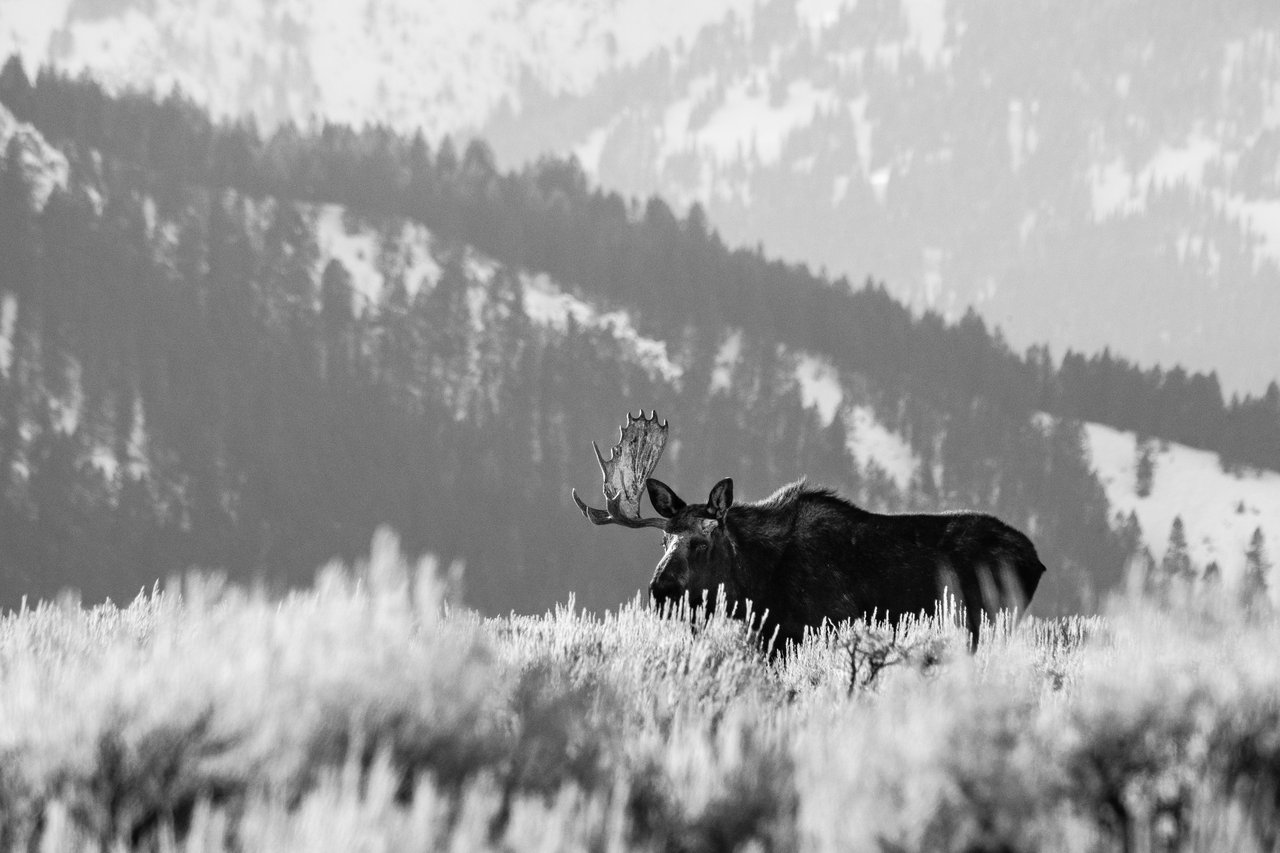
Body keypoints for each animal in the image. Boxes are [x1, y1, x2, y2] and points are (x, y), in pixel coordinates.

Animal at [573, 411, 1046, 651]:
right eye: (663, 539)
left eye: (703, 541)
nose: (661, 589)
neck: (755, 589)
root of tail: (1036, 559)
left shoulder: (816, 628)